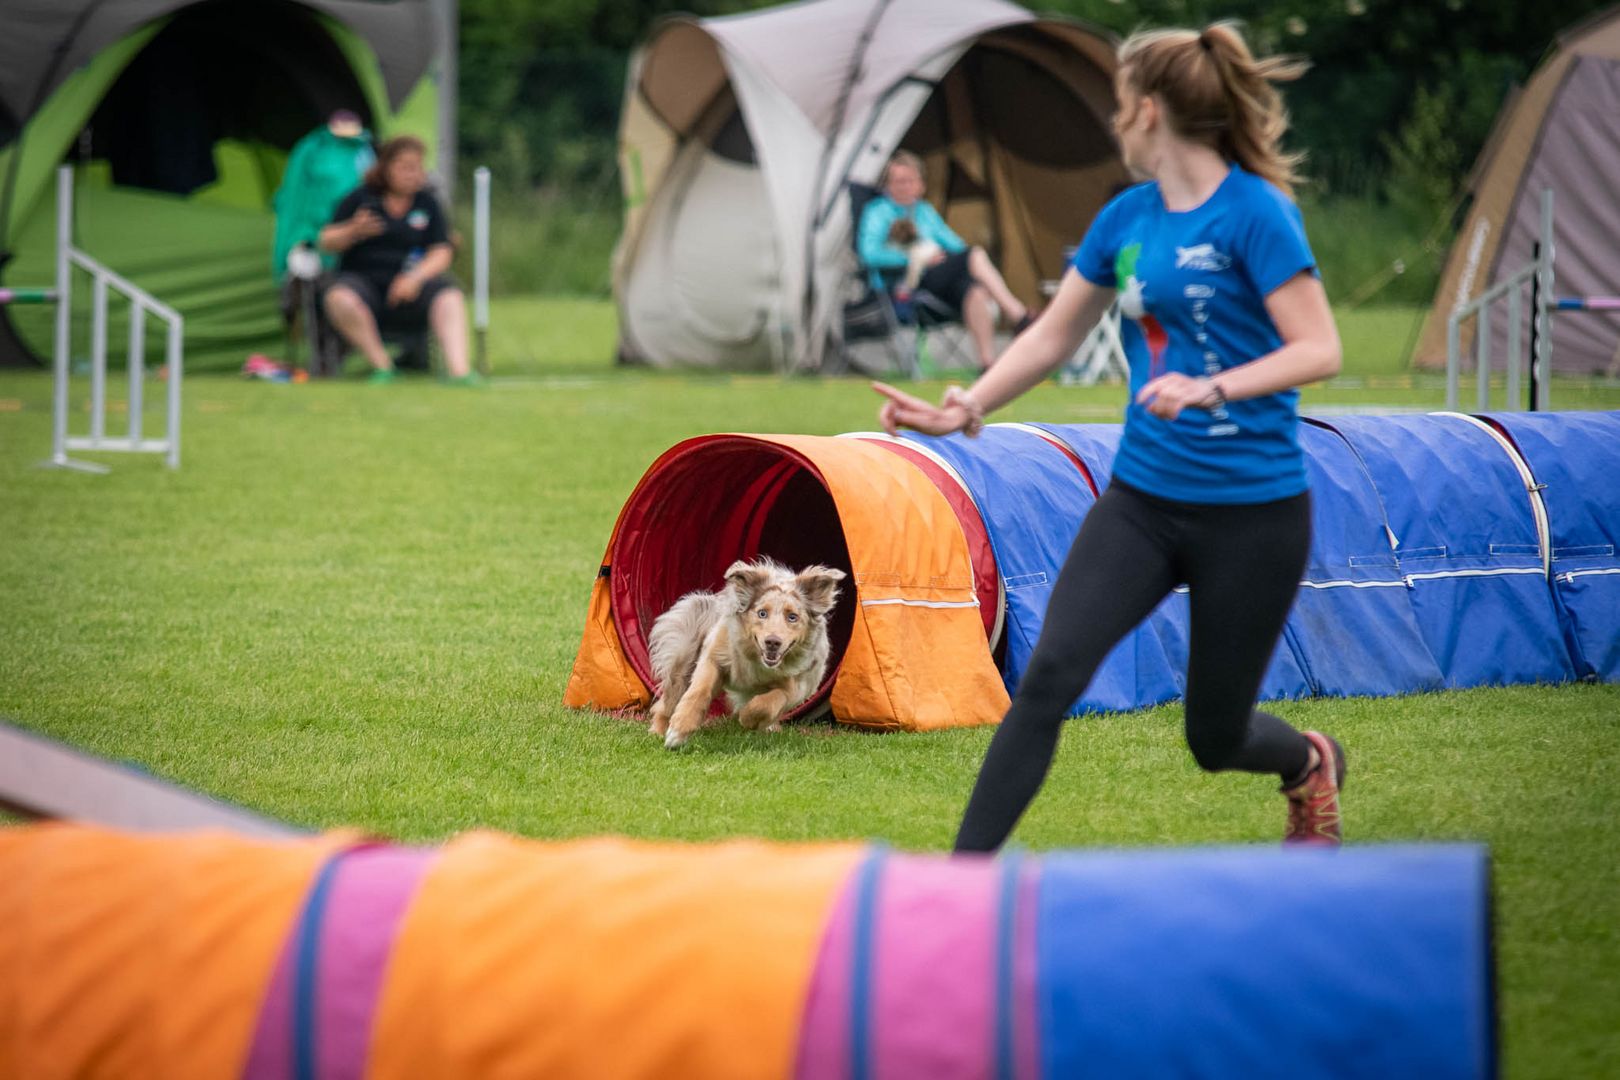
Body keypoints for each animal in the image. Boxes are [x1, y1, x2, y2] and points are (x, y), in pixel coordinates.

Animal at [644, 557, 848, 751]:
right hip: (685, 659)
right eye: (762, 613)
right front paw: (678, 732)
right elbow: (699, 692)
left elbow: (770, 702)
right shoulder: (715, 657)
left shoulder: (799, 685)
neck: (758, 659)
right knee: (668, 701)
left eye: (792, 617)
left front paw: (748, 718)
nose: (772, 642)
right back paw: (658, 731)